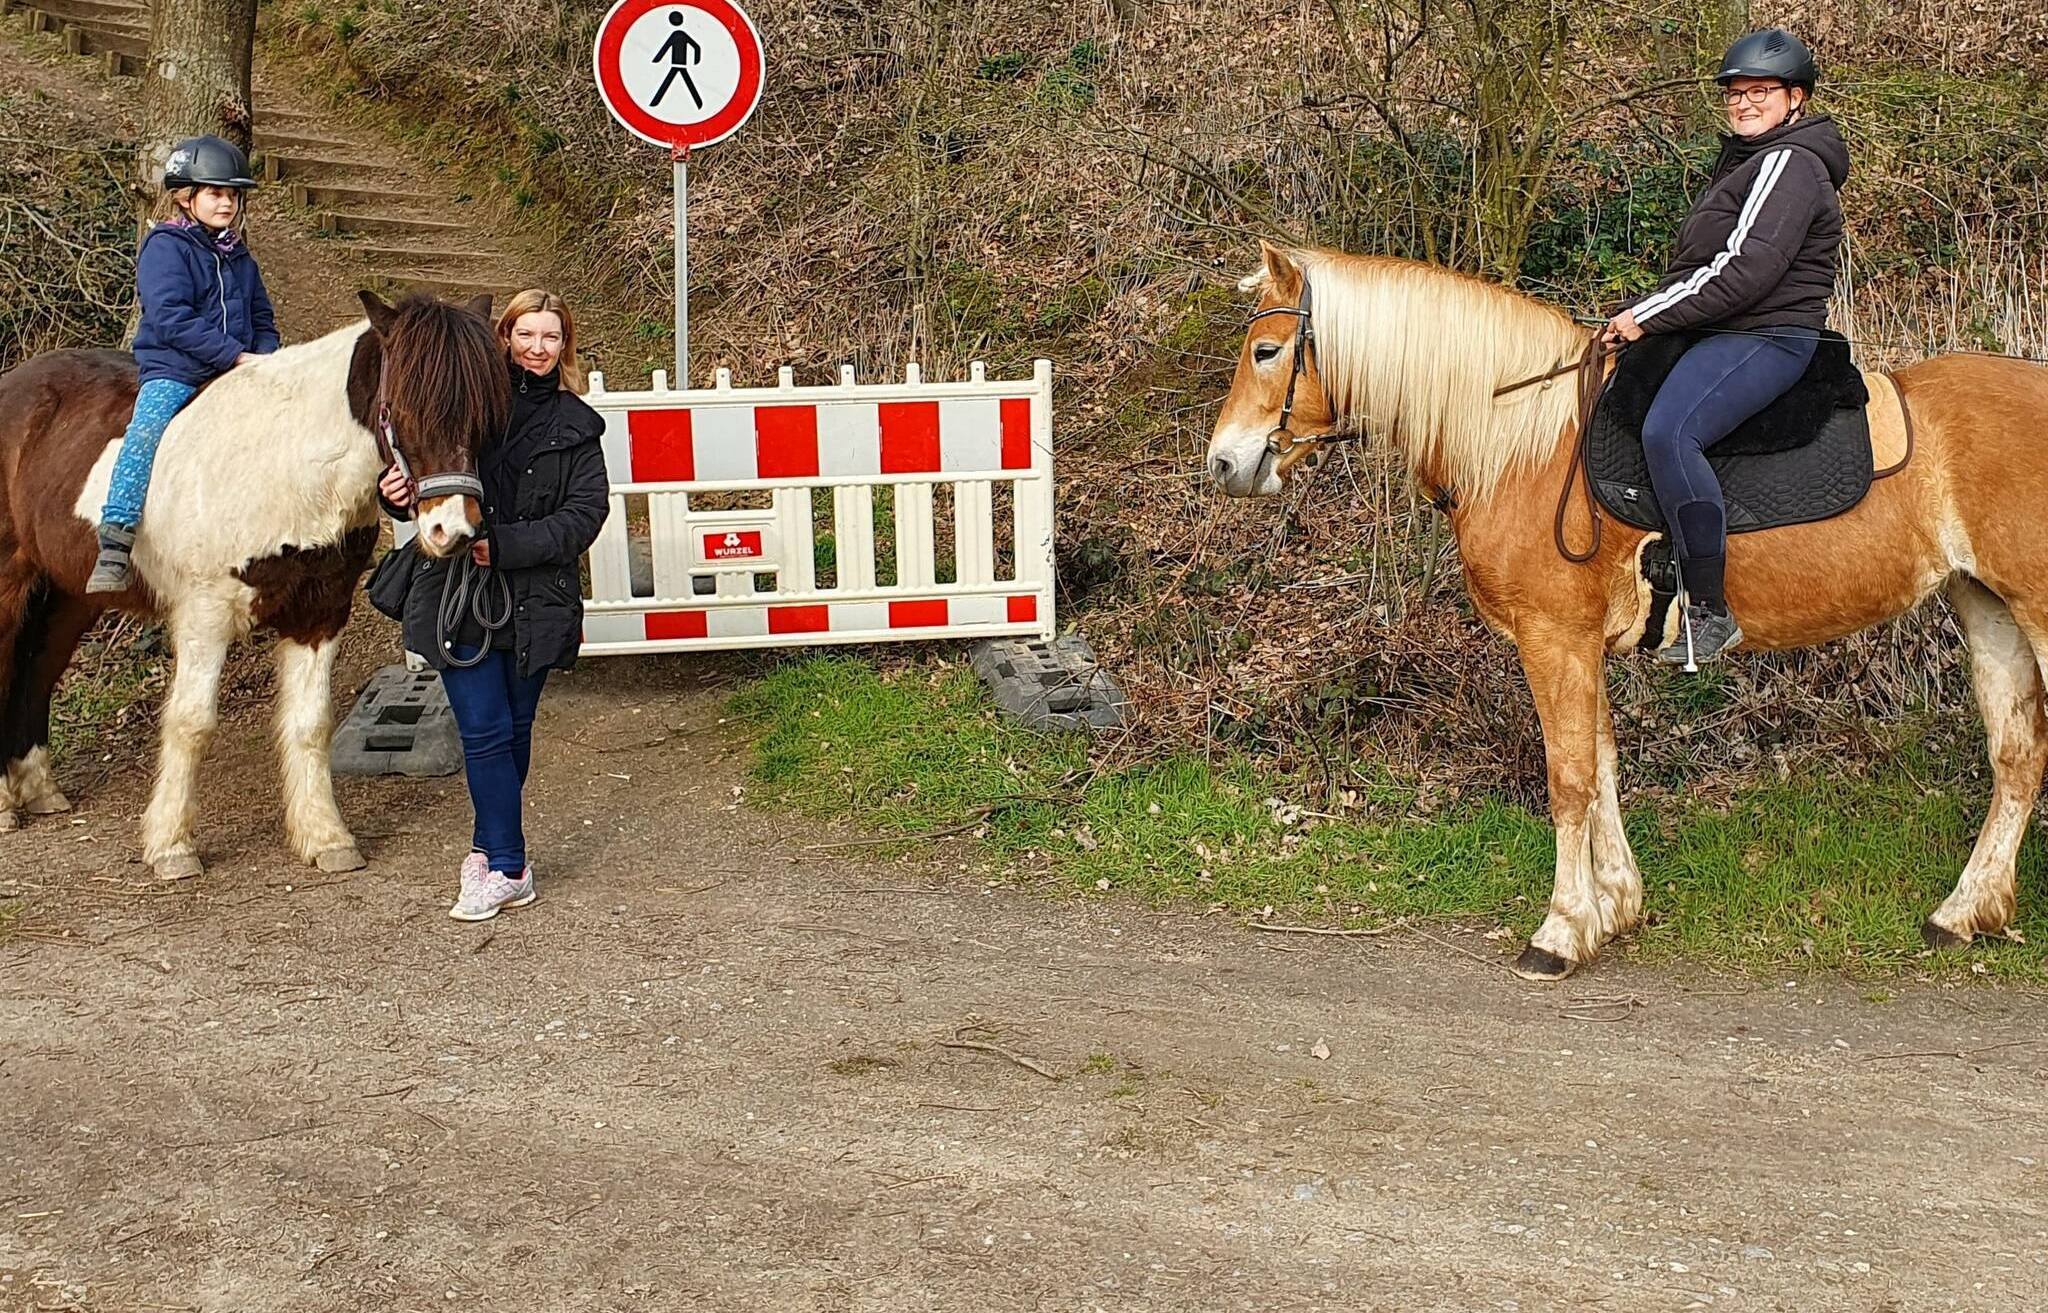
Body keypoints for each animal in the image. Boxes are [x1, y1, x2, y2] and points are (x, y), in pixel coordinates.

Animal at [0, 290, 507, 876]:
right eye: (400, 409)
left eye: (484, 416)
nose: (455, 531)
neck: (286, 465)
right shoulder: (205, 614)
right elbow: (192, 722)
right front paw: (172, 847)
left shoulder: (320, 612)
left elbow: (311, 723)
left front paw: (326, 837)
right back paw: (6, 808)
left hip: (70, 594)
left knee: (38, 670)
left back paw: (38, 789)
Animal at [1204, 243, 2048, 983]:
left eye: (1268, 351)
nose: (1222, 462)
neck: (1524, 443)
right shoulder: (1579, 645)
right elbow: (1604, 765)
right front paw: (1612, 907)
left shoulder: (1553, 640)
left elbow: (1569, 777)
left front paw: (1558, 930)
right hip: (1989, 610)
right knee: (2017, 756)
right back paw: (1964, 911)